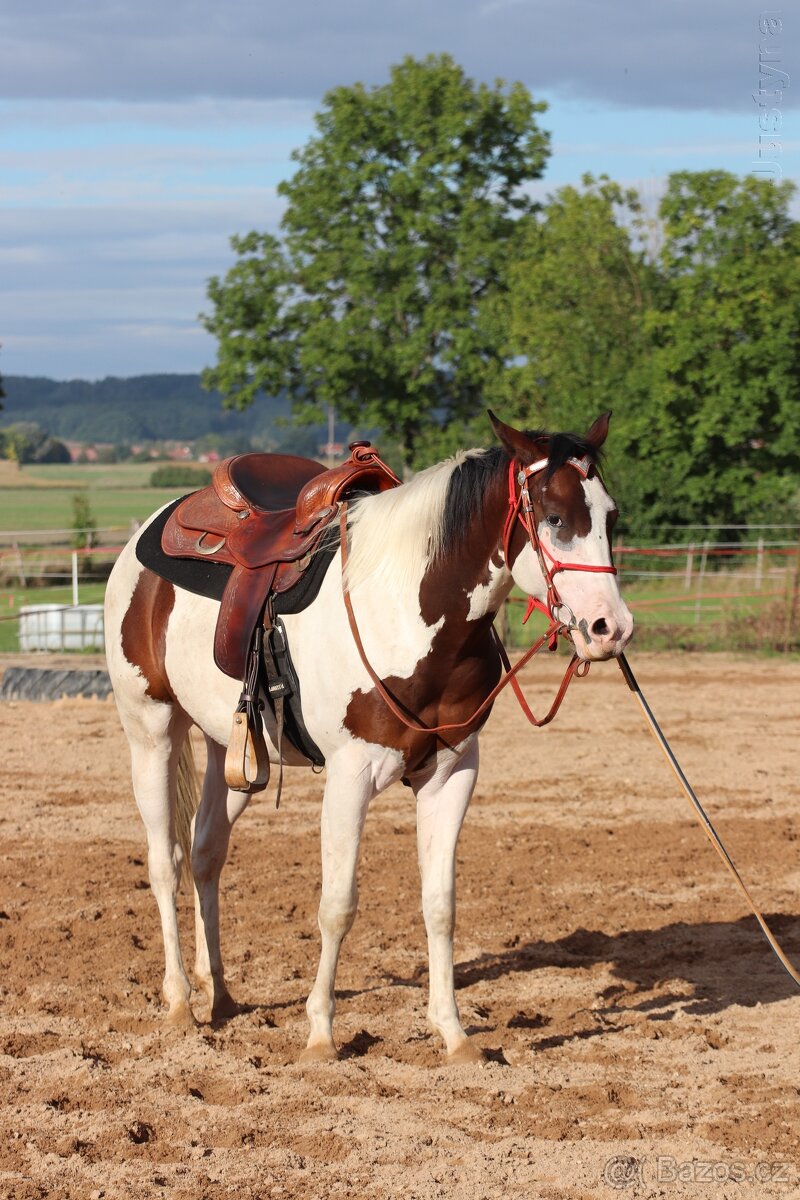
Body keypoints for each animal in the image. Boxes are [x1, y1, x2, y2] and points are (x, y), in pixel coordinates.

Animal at [104, 410, 634, 1063]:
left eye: (610, 516)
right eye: (556, 518)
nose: (611, 628)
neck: (408, 611)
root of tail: (152, 529)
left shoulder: (452, 775)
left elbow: (440, 906)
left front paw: (454, 1034)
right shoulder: (349, 777)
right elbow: (337, 907)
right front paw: (321, 1035)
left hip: (230, 749)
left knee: (205, 854)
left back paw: (219, 994)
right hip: (151, 730)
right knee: (165, 861)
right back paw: (179, 1001)